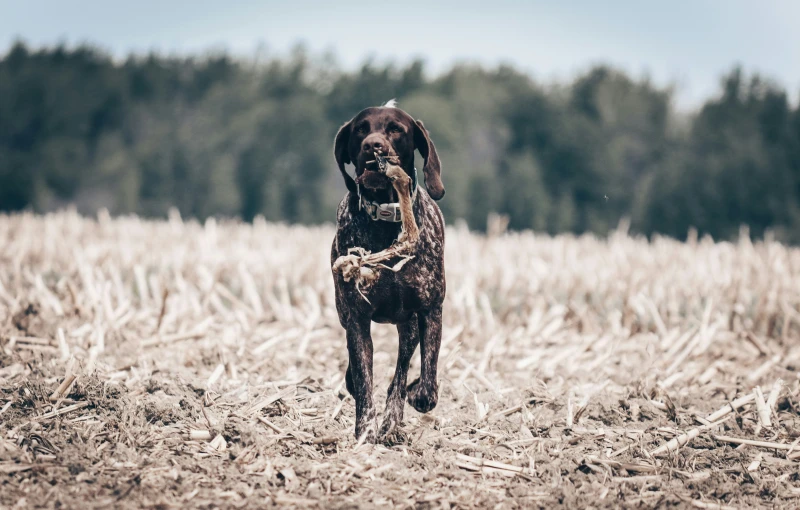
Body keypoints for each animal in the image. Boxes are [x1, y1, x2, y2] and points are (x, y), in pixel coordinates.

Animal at [328, 100, 446, 442]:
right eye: (360, 130)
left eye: (395, 129)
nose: (373, 146)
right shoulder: (356, 318)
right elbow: (364, 381)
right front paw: (364, 435)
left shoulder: (430, 310)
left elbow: (426, 379)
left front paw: (414, 397)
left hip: (409, 326)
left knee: (402, 372)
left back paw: (395, 418)